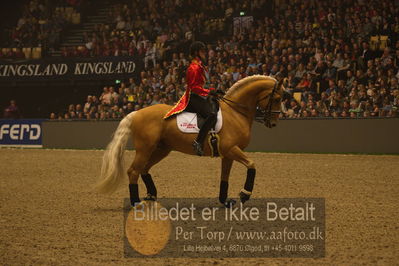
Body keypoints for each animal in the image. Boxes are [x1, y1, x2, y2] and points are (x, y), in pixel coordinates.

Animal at [95, 75, 282, 206]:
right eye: (278, 98)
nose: (273, 123)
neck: (235, 112)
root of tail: (136, 113)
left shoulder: (228, 154)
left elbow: (225, 177)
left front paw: (225, 201)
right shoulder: (231, 149)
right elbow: (251, 165)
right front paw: (245, 194)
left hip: (161, 149)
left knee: (144, 169)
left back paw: (151, 195)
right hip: (145, 148)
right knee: (133, 171)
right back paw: (136, 202)